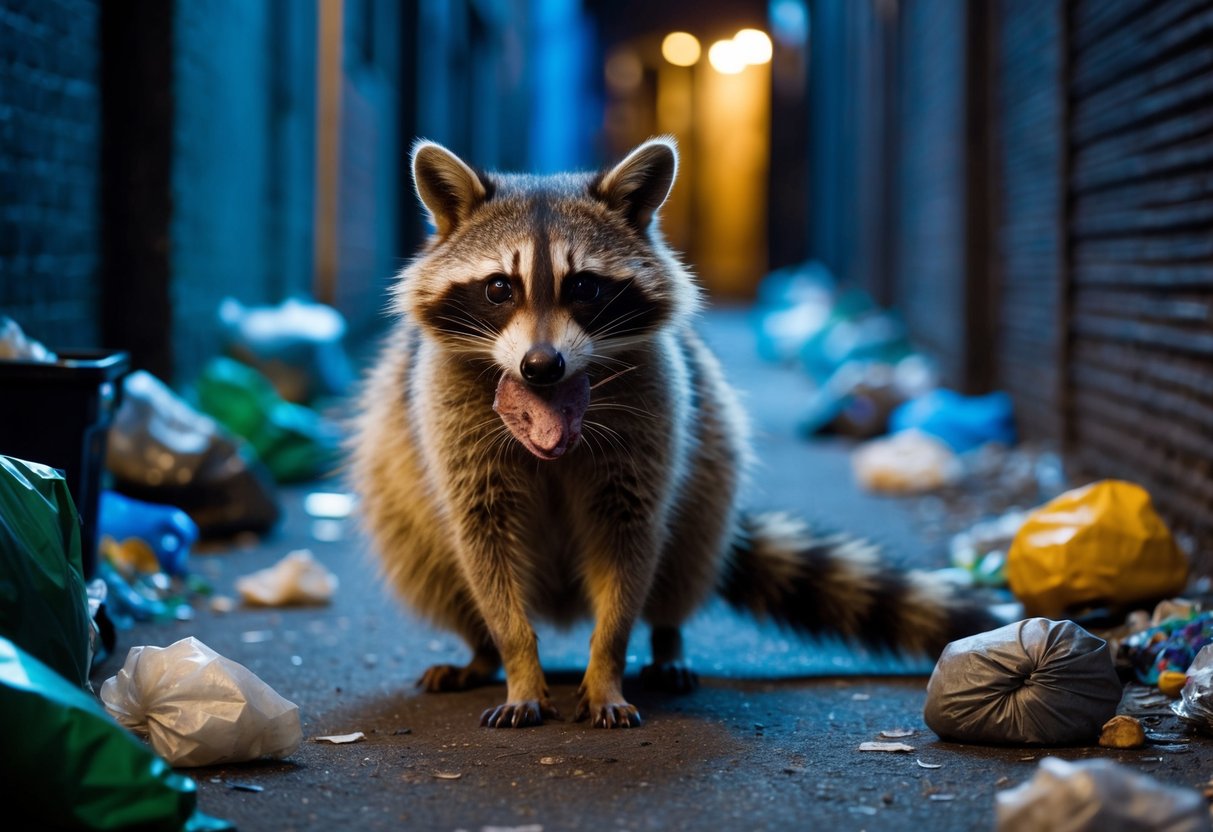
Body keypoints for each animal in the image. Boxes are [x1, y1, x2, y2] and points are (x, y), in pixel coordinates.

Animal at [352, 137, 996, 729]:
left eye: (583, 287)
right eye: (497, 289)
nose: (541, 366)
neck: (552, 409)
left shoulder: (655, 407)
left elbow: (631, 538)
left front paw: (606, 666)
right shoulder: (449, 414)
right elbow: (483, 543)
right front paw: (519, 662)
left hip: (710, 464)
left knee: (685, 550)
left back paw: (667, 639)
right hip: (400, 480)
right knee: (430, 558)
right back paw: (481, 650)